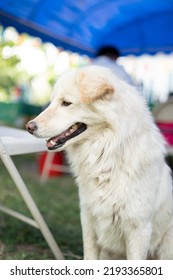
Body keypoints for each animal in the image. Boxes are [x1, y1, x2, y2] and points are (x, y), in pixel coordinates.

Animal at [26, 65, 173, 260]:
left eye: (66, 103)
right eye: (52, 102)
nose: (29, 127)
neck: (106, 155)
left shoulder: (139, 229)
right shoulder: (89, 221)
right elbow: (89, 256)